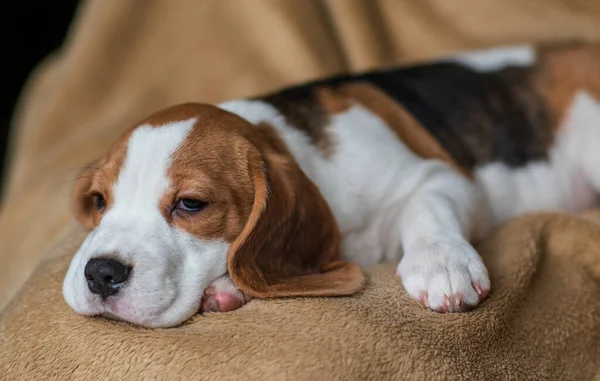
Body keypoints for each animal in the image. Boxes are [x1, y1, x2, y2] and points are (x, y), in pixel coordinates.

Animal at [64, 41, 600, 326]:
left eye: (191, 204)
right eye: (99, 201)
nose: (100, 274)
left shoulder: (439, 176)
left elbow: (427, 208)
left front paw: (442, 262)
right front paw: (227, 287)